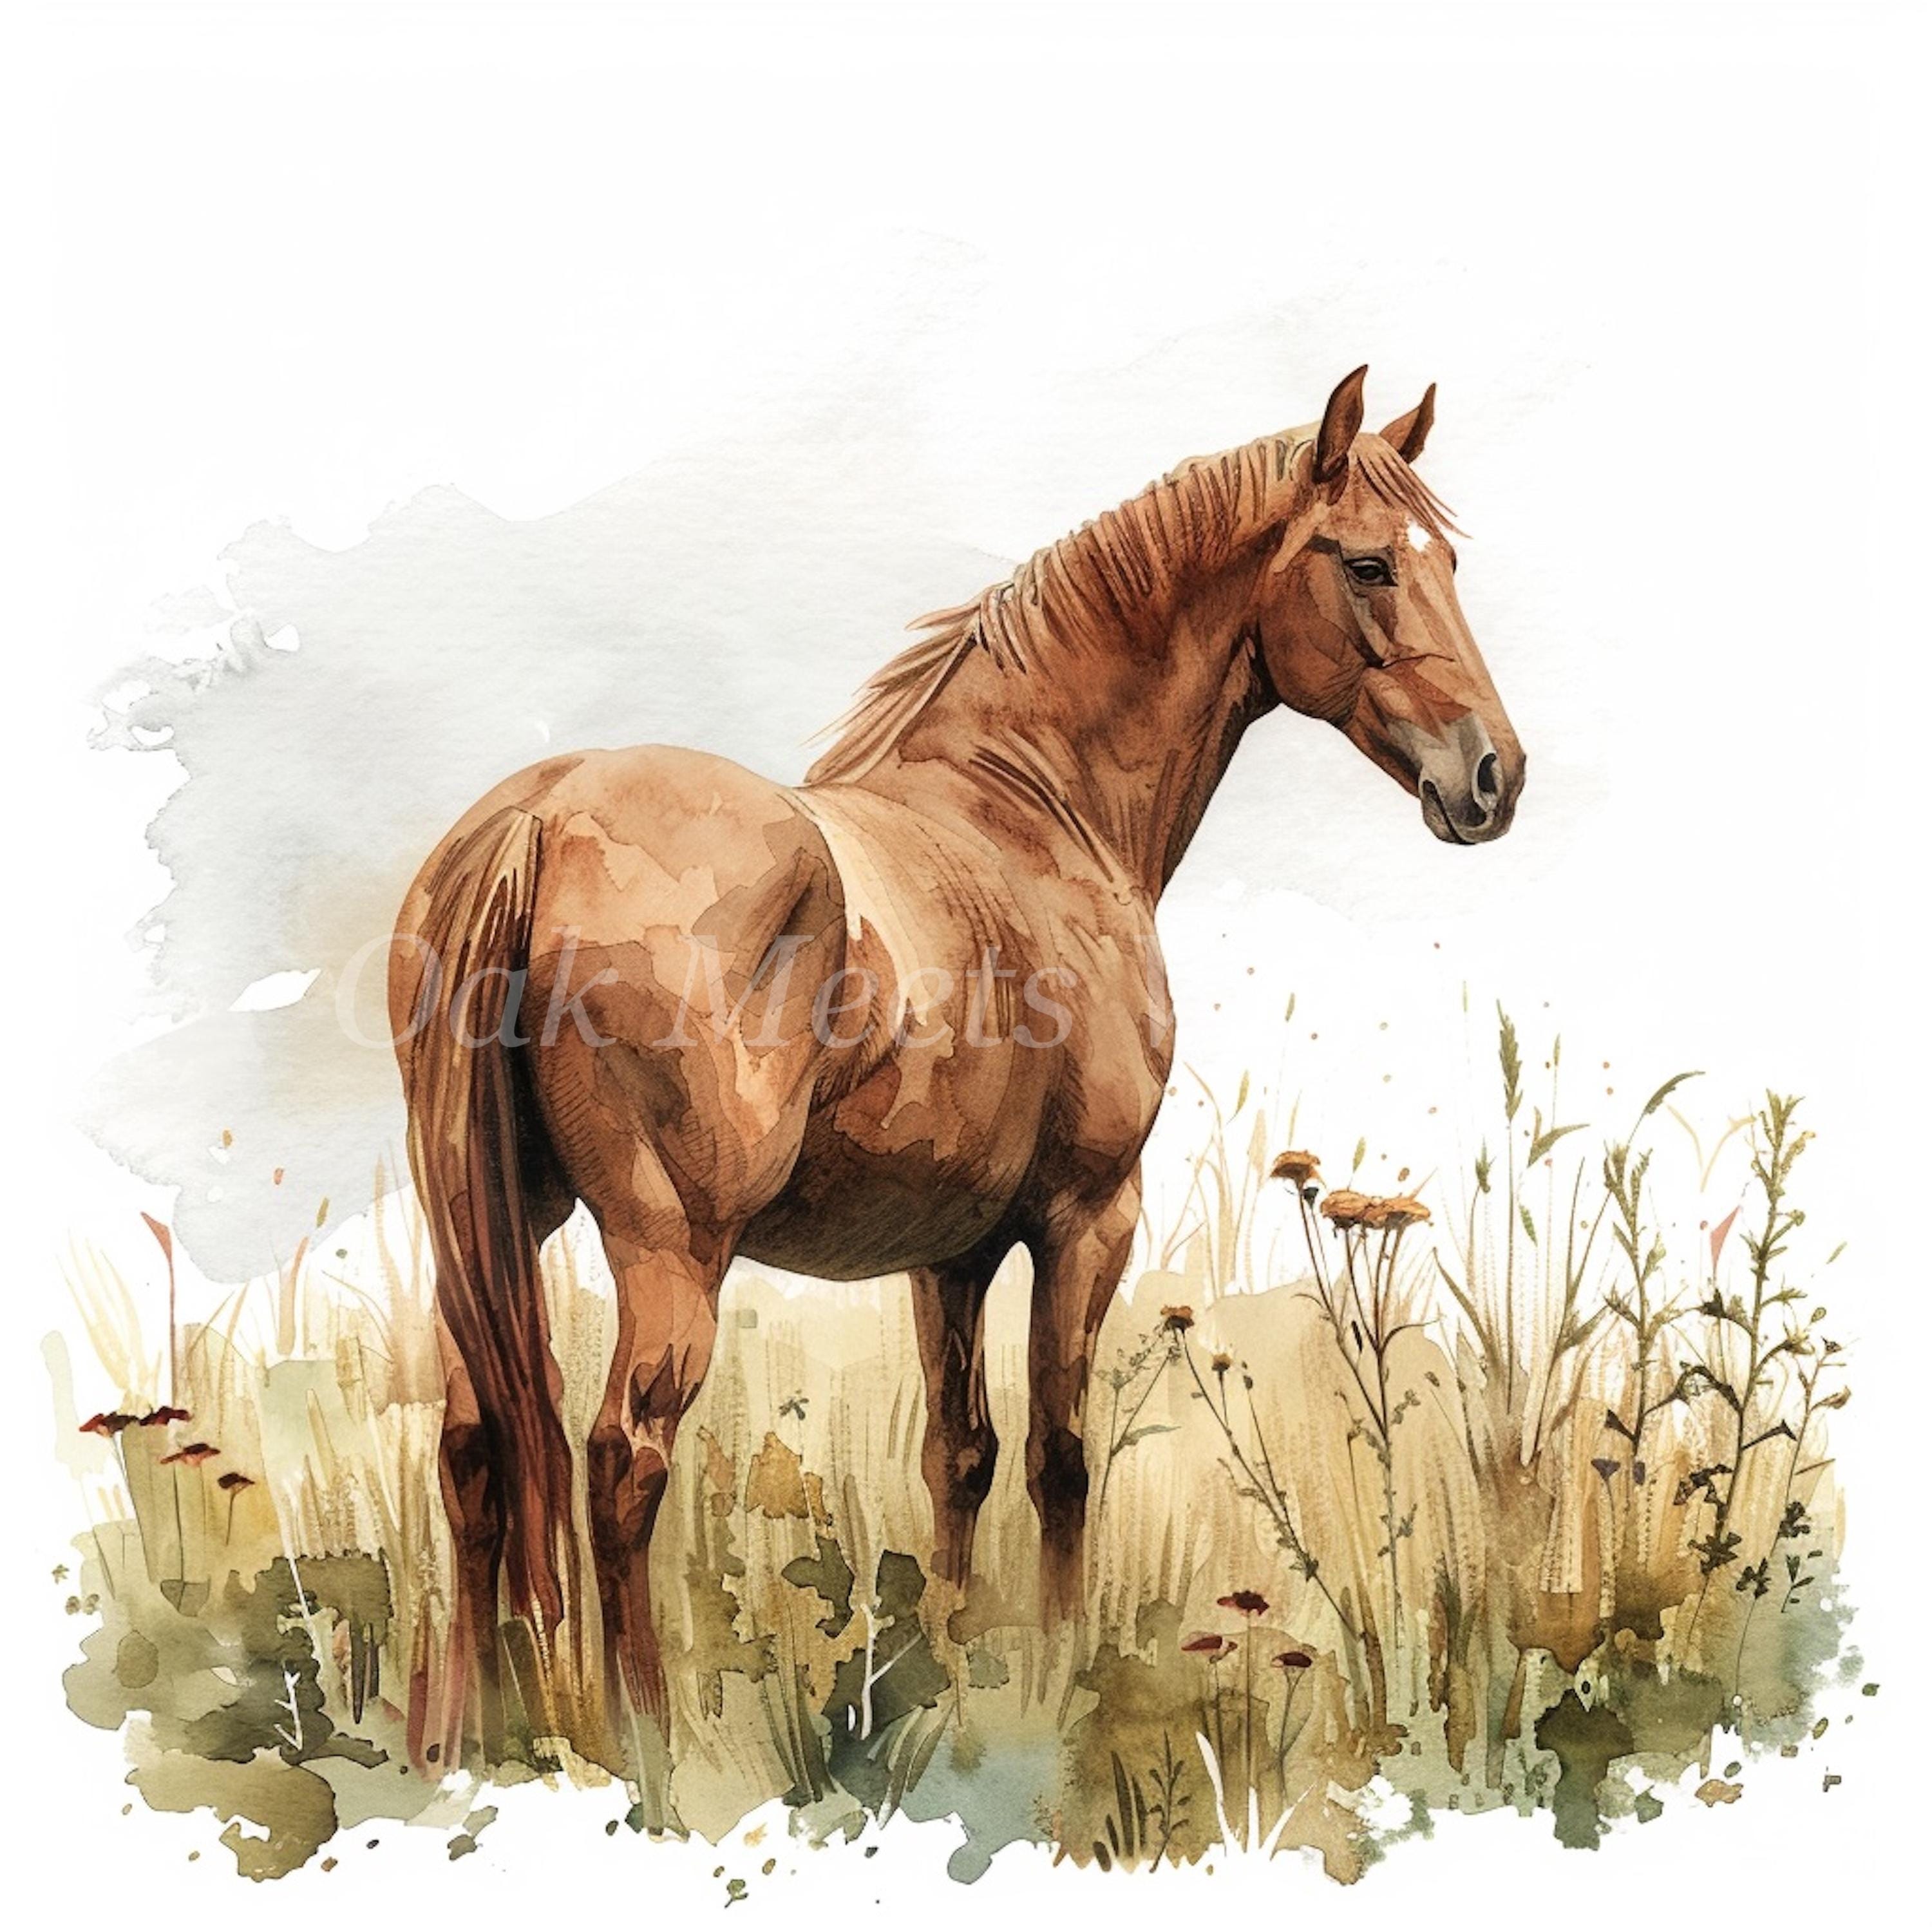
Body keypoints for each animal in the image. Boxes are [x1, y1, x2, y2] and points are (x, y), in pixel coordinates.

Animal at [390, 365, 1525, 1760]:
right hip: (670, 1248)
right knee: (620, 1460)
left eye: (1447, 561)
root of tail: (542, 817)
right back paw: (651, 1739)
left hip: (488, 1230)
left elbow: (959, 1457)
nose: (1493, 775)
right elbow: (1060, 1457)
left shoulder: (951, 1253)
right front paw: (1060, 1679)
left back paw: (469, 1735)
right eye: (1368, 562)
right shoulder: (1088, 1219)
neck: (1032, 817)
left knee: (475, 1450)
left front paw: (952, 1673)